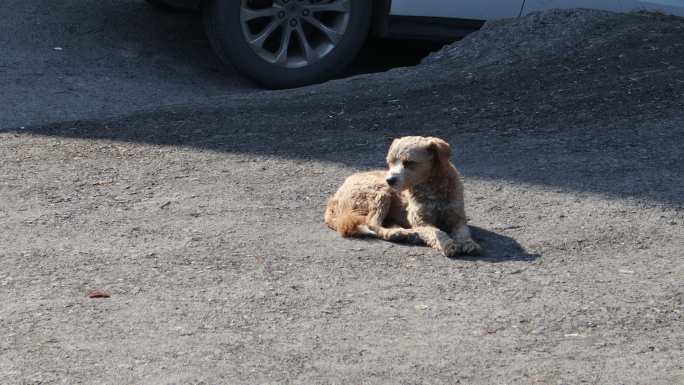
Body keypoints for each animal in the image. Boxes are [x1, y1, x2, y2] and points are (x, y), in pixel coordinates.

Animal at [326, 136, 480, 256]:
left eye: (409, 162)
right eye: (390, 162)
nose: (389, 180)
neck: (432, 187)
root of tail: (334, 199)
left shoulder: (457, 217)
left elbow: (463, 231)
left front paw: (467, 243)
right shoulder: (421, 221)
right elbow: (437, 232)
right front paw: (448, 244)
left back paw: (406, 233)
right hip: (380, 193)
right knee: (372, 223)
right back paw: (396, 233)